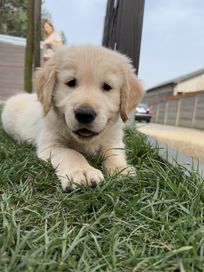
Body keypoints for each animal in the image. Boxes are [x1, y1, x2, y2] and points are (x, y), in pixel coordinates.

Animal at [1, 45, 143, 191]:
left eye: (107, 86)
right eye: (71, 82)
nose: (85, 114)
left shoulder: (114, 140)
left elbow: (113, 152)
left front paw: (121, 168)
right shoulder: (51, 144)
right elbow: (71, 153)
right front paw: (82, 171)